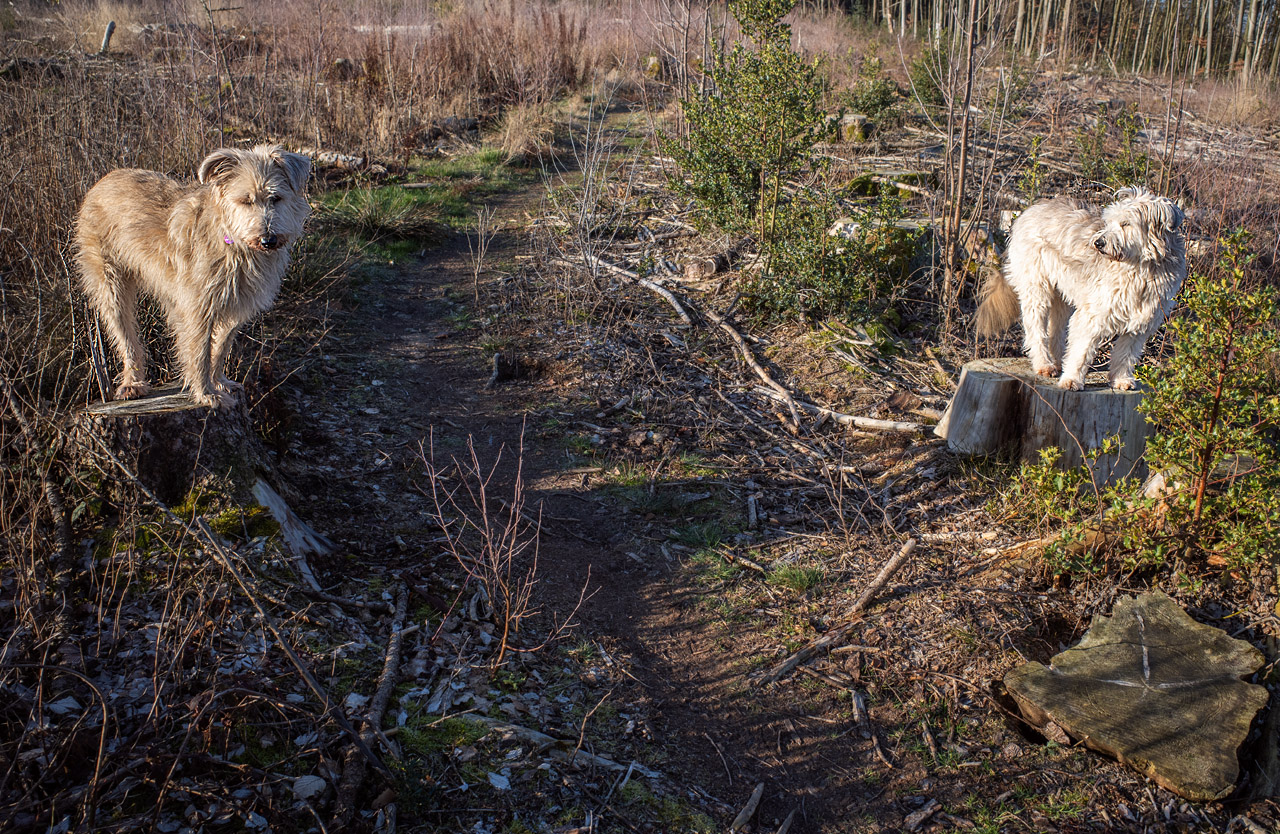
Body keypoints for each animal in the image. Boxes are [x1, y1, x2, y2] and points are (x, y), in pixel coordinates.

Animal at [77, 145, 312, 409]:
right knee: (125, 335)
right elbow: (200, 352)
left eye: (276, 198)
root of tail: (103, 180)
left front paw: (219, 382)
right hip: (111, 284)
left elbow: (220, 346)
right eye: (245, 200)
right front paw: (206, 393)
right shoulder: (199, 306)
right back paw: (133, 382)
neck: (233, 243)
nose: (268, 240)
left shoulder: (236, 303)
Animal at [972, 185, 1182, 391]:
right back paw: (1044, 364)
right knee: (1035, 328)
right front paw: (1072, 379)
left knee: (1055, 330)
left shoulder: (1141, 322)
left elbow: (1126, 354)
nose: (1098, 243)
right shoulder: (1092, 315)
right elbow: (1081, 351)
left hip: (1062, 293)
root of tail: (1033, 207)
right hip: (1037, 288)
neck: (1142, 269)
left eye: (1125, 223)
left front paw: (1122, 379)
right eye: (1109, 222)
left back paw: (1058, 362)